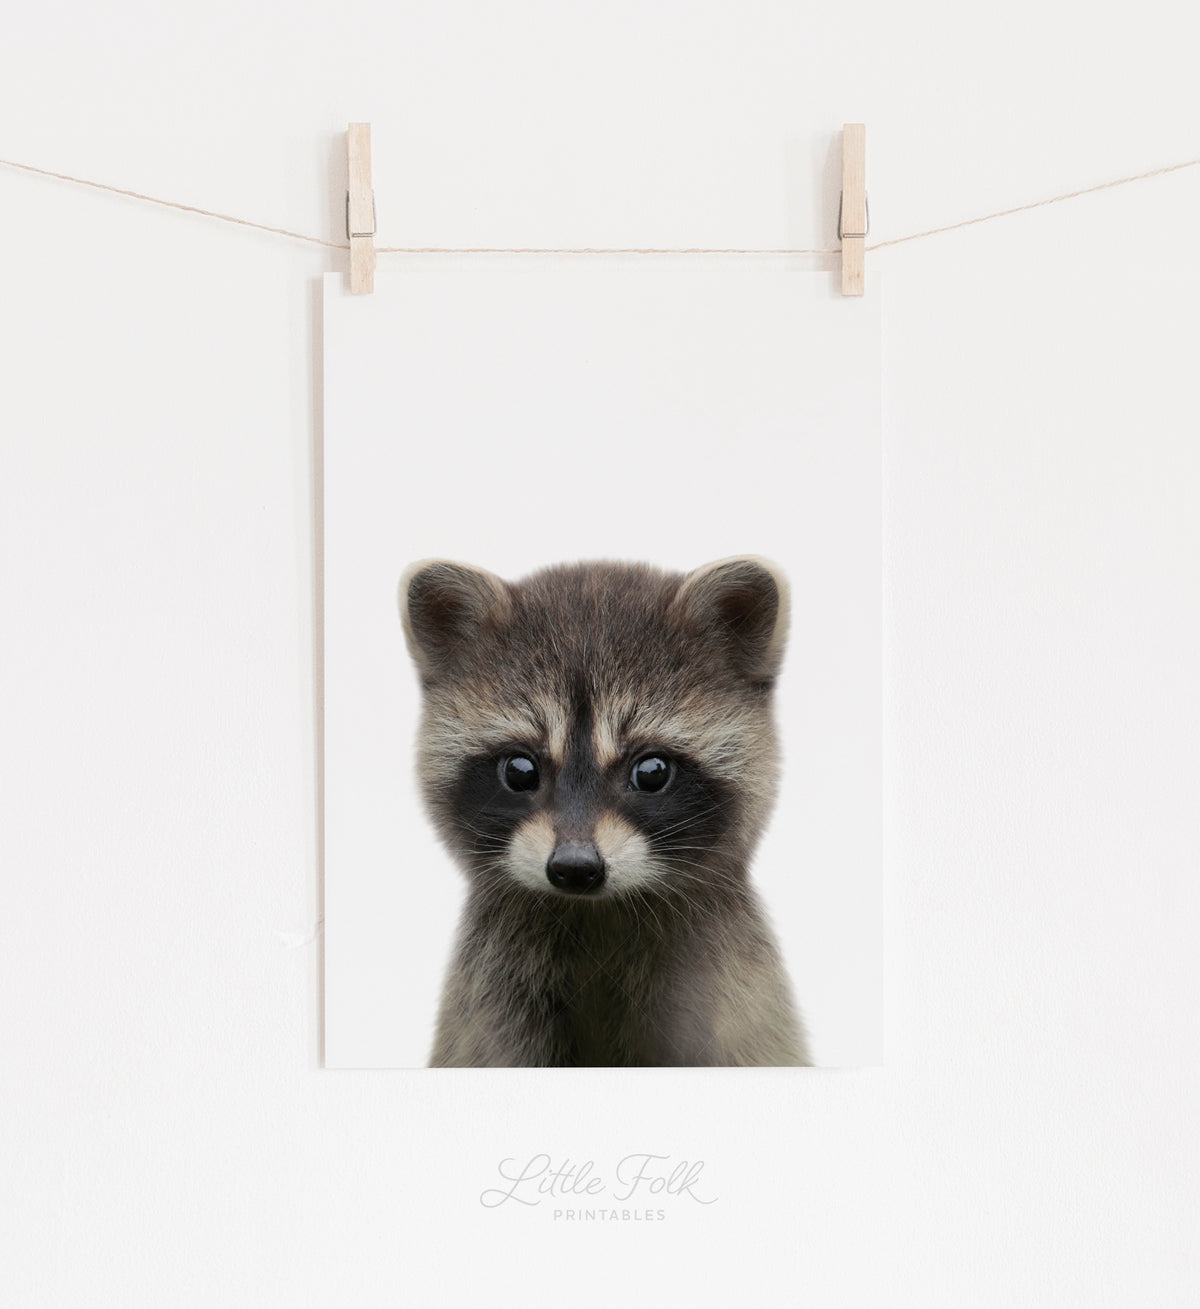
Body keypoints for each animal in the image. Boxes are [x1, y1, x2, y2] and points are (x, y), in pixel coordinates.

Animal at [399, 556, 810, 1067]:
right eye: (519, 770)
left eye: (651, 772)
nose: (575, 867)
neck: (595, 913)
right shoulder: (495, 1001)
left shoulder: (735, 1003)